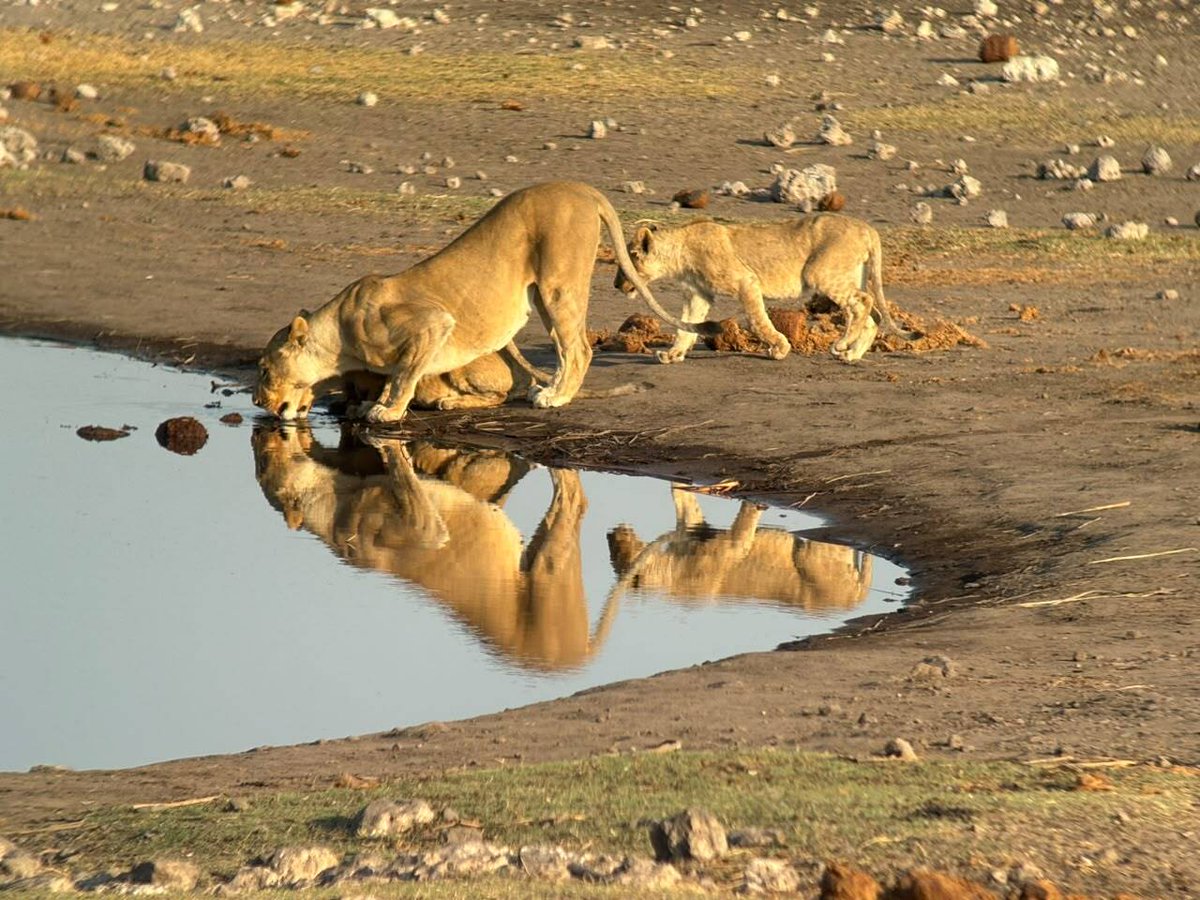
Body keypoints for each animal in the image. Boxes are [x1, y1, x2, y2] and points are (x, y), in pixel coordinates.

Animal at [251, 427, 619, 670]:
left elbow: (404, 477)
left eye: (263, 463)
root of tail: (579, 657)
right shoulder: (422, 527)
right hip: (547, 567)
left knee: (572, 498)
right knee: (573, 502)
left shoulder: (417, 526)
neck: (330, 505)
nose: (257, 438)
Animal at [253, 181, 704, 423]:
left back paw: (555, 397)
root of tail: (581, 187)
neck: (338, 337)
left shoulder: (433, 322)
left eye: (264, 369)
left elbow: (404, 374)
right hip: (542, 294)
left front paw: (386, 410)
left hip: (559, 283)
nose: (256, 401)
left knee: (578, 348)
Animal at [606, 486, 874, 611]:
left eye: (617, 554)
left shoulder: (732, 546)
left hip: (809, 556)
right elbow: (681, 497)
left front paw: (753, 501)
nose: (609, 536)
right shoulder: (695, 528)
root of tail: (853, 600)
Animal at [613, 212, 914, 364]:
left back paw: (841, 344)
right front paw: (673, 354)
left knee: (863, 303)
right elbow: (686, 326)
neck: (680, 253)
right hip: (853, 274)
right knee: (873, 314)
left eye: (630, 258)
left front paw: (779, 348)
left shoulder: (746, 281)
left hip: (820, 272)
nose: (616, 284)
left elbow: (758, 321)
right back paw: (852, 354)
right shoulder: (698, 295)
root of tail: (867, 229)